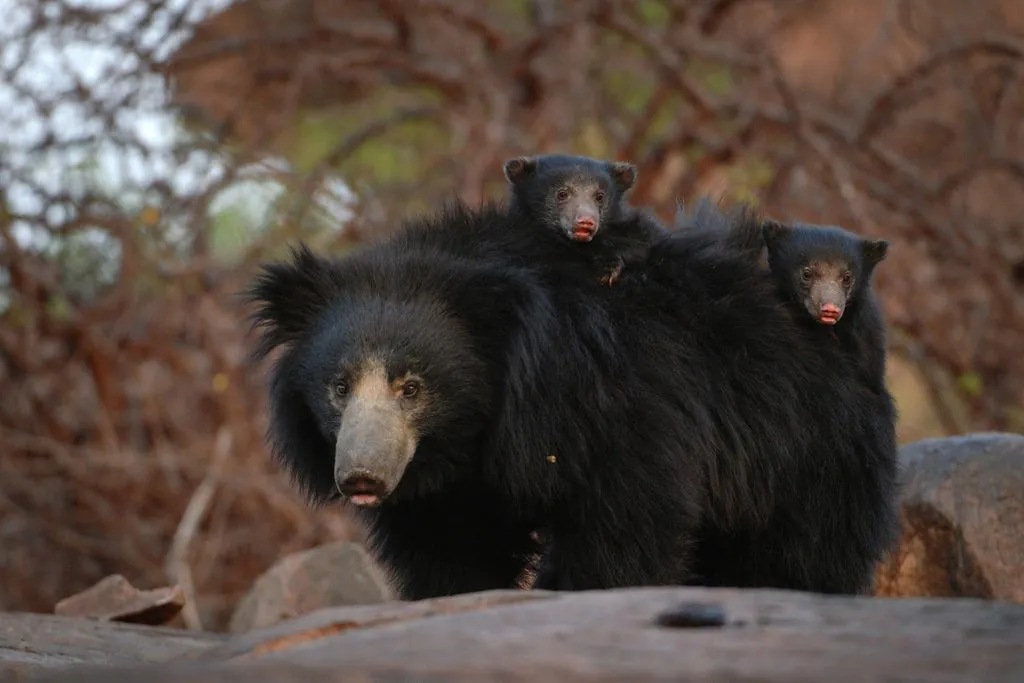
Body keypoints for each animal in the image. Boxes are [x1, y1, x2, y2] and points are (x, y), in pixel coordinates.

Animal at [247, 198, 900, 600]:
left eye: (412, 388)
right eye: (338, 387)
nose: (361, 476)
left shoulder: (622, 403)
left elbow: (627, 524)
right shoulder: (452, 486)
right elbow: (452, 550)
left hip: (809, 446)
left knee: (803, 553)